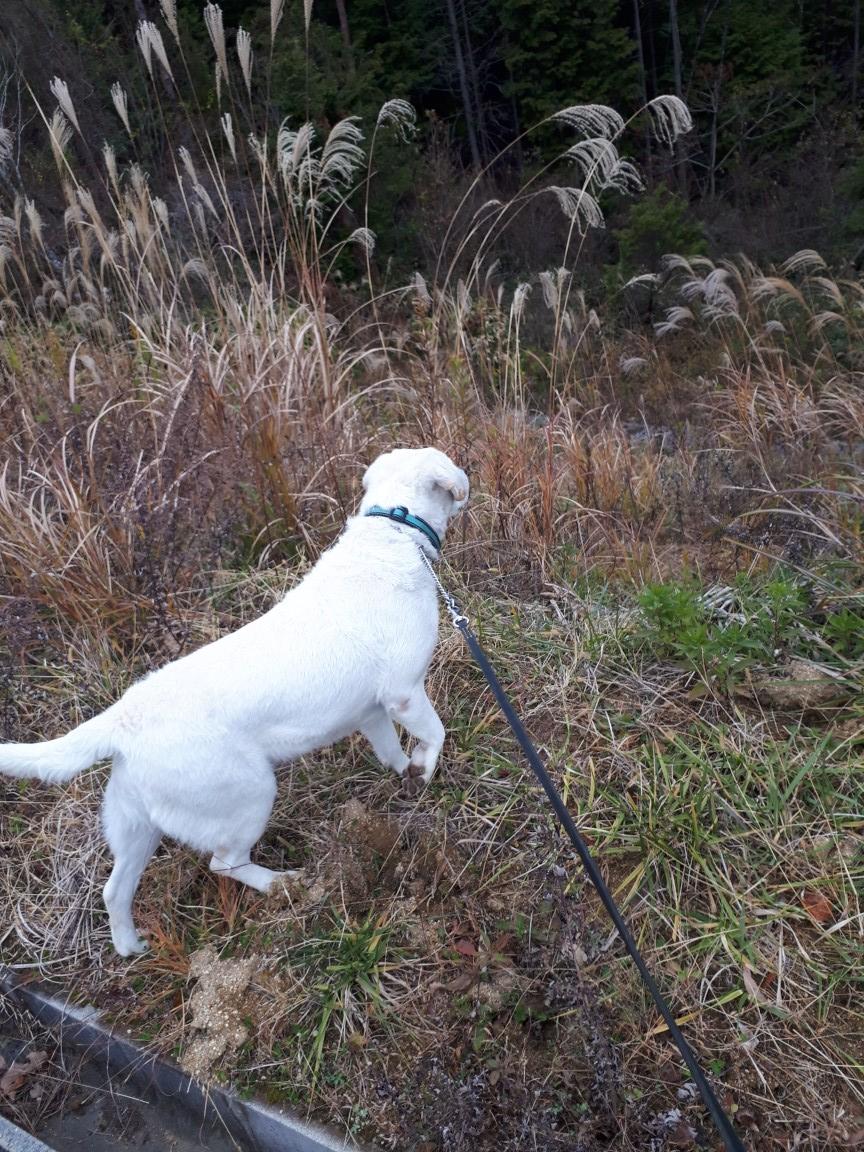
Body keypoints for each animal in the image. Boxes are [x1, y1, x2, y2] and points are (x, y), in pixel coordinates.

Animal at [0, 447, 469, 956]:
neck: (394, 528)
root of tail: (123, 718)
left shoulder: (372, 713)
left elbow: (391, 753)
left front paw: (407, 776)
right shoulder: (405, 693)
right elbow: (435, 734)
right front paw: (424, 768)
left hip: (136, 826)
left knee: (114, 890)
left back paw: (131, 946)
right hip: (250, 794)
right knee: (223, 864)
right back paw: (284, 884)